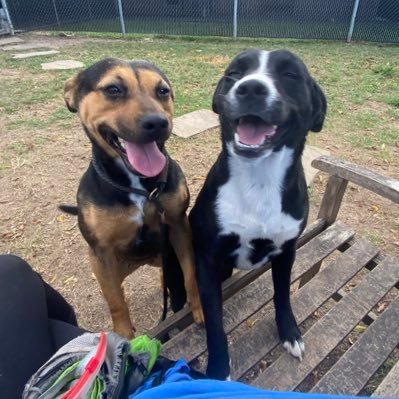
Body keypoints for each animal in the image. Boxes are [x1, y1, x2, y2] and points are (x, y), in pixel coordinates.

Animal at [61, 57, 205, 340]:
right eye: (113, 89)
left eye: (163, 91)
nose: (157, 123)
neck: (142, 187)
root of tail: (142, 262)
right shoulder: (103, 252)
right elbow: (116, 302)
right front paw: (124, 336)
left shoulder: (178, 225)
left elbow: (191, 274)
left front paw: (199, 310)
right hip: (105, 265)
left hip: (165, 255)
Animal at [191, 48, 328, 380]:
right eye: (234, 73)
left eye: (291, 74)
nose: (251, 88)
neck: (259, 179)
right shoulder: (207, 260)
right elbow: (215, 325)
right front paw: (218, 369)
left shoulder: (287, 251)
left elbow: (283, 295)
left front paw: (289, 332)